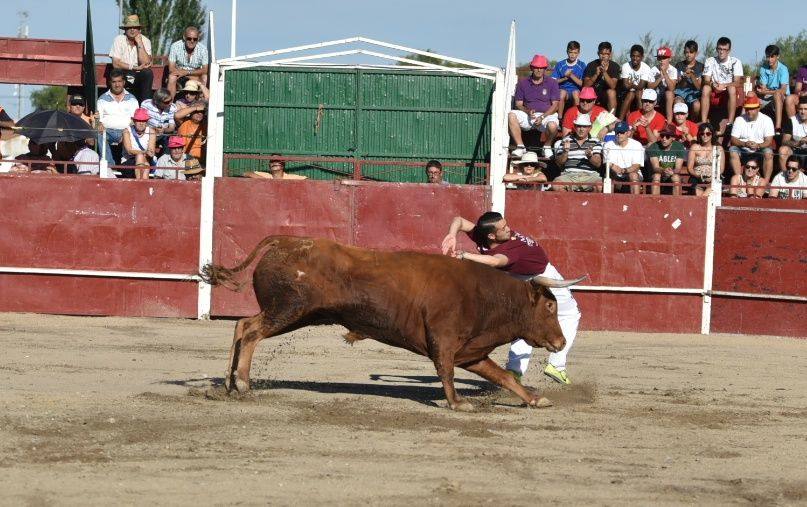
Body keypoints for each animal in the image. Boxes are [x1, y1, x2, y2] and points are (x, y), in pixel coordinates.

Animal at [200, 238, 584, 412]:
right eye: (550, 305)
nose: (560, 342)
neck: (486, 295)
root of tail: (286, 240)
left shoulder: (471, 352)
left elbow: (503, 376)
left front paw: (535, 399)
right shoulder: (445, 342)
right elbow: (445, 372)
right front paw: (457, 404)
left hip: (296, 313)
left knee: (242, 325)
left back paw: (228, 383)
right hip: (290, 309)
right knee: (250, 331)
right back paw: (244, 383)